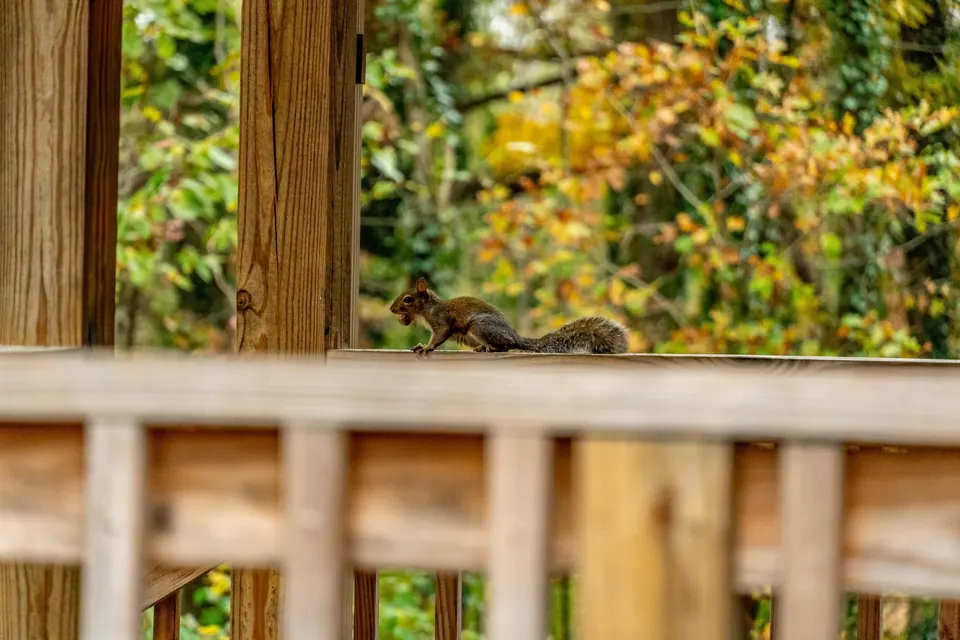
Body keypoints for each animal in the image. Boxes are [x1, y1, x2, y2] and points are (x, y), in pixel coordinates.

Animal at [388, 277, 629, 355]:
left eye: (407, 299)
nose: (391, 309)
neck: (427, 310)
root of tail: (516, 336)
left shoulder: (442, 321)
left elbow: (439, 336)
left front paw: (426, 347)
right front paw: (421, 345)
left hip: (479, 327)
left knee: (505, 346)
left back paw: (492, 348)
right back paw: (481, 348)